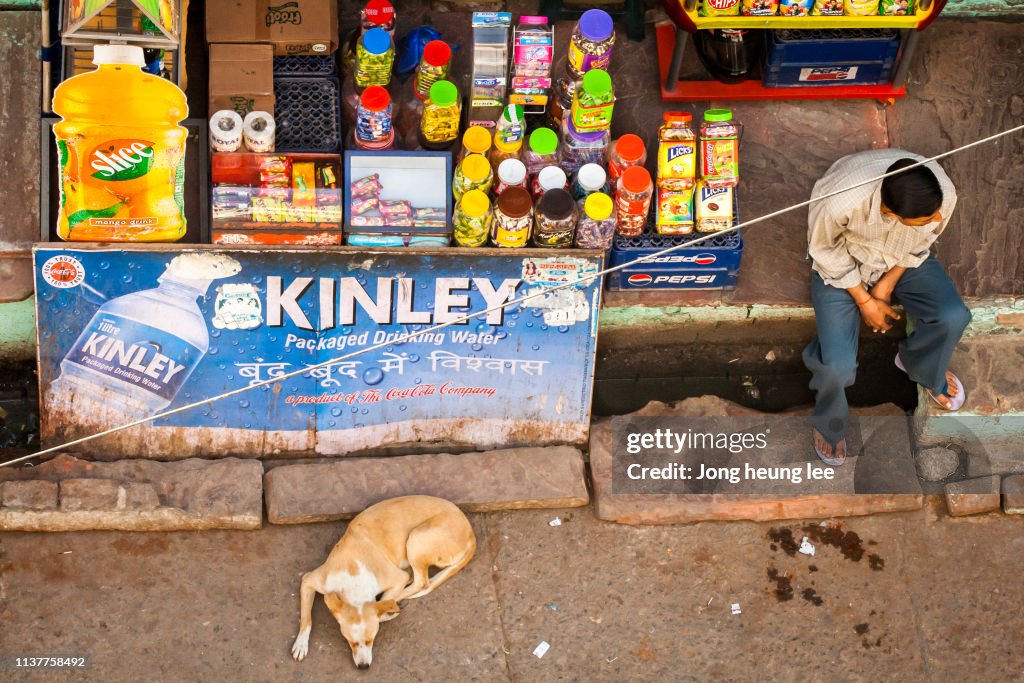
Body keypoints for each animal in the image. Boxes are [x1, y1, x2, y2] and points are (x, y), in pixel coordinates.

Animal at [292, 493, 475, 671]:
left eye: (371, 640)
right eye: (351, 642)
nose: (363, 667)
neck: (353, 575)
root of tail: (470, 532)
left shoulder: (399, 577)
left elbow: (384, 602)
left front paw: (385, 611)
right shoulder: (309, 580)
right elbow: (306, 618)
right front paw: (300, 645)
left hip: (416, 538)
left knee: (422, 582)